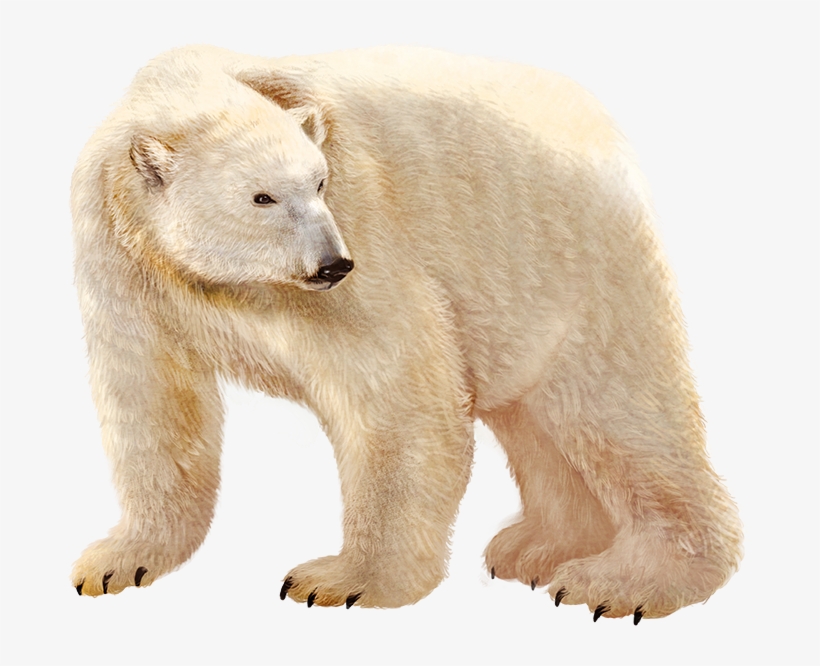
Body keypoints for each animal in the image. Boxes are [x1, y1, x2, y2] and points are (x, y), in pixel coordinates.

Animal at [70, 44, 742, 621]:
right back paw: (539, 547)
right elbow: (151, 401)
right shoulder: (121, 256)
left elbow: (394, 390)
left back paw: (623, 580)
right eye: (262, 197)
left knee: (618, 411)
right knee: (532, 418)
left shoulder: (365, 227)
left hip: (565, 259)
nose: (333, 264)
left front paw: (339, 581)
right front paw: (117, 561)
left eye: (318, 182)